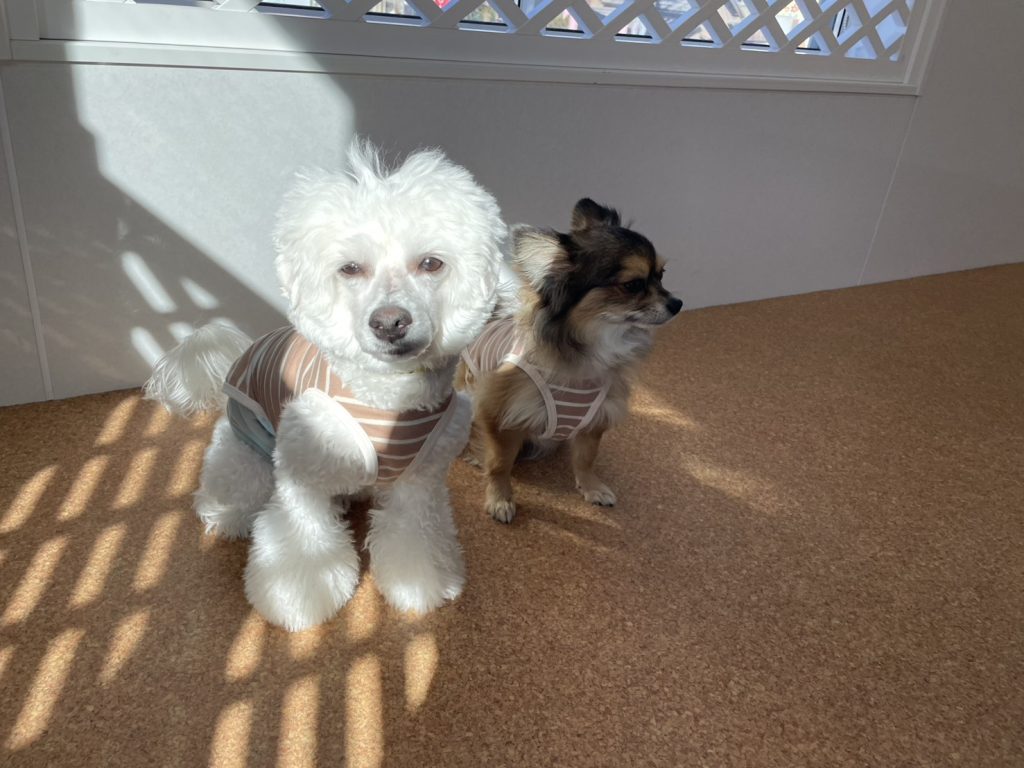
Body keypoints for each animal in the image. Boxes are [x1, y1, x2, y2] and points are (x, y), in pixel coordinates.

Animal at [144, 140, 507, 630]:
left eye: (431, 263)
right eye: (350, 268)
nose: (389, 322)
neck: (386, 398)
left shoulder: (419, 482)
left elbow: (415, 535)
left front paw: (419, 584)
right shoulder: (301, 476)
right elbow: (303, 541)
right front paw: (298, 599)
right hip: (246, 455)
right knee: (230, 491)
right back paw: (225, 513)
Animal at [456, 198, 682, 523]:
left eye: (662, 275)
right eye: (633, 285)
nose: (678, 303)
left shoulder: (596, 419)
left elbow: (586, 459)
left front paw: (592, 488)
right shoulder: (499, 412)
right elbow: (499, 464)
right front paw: (500, 499)